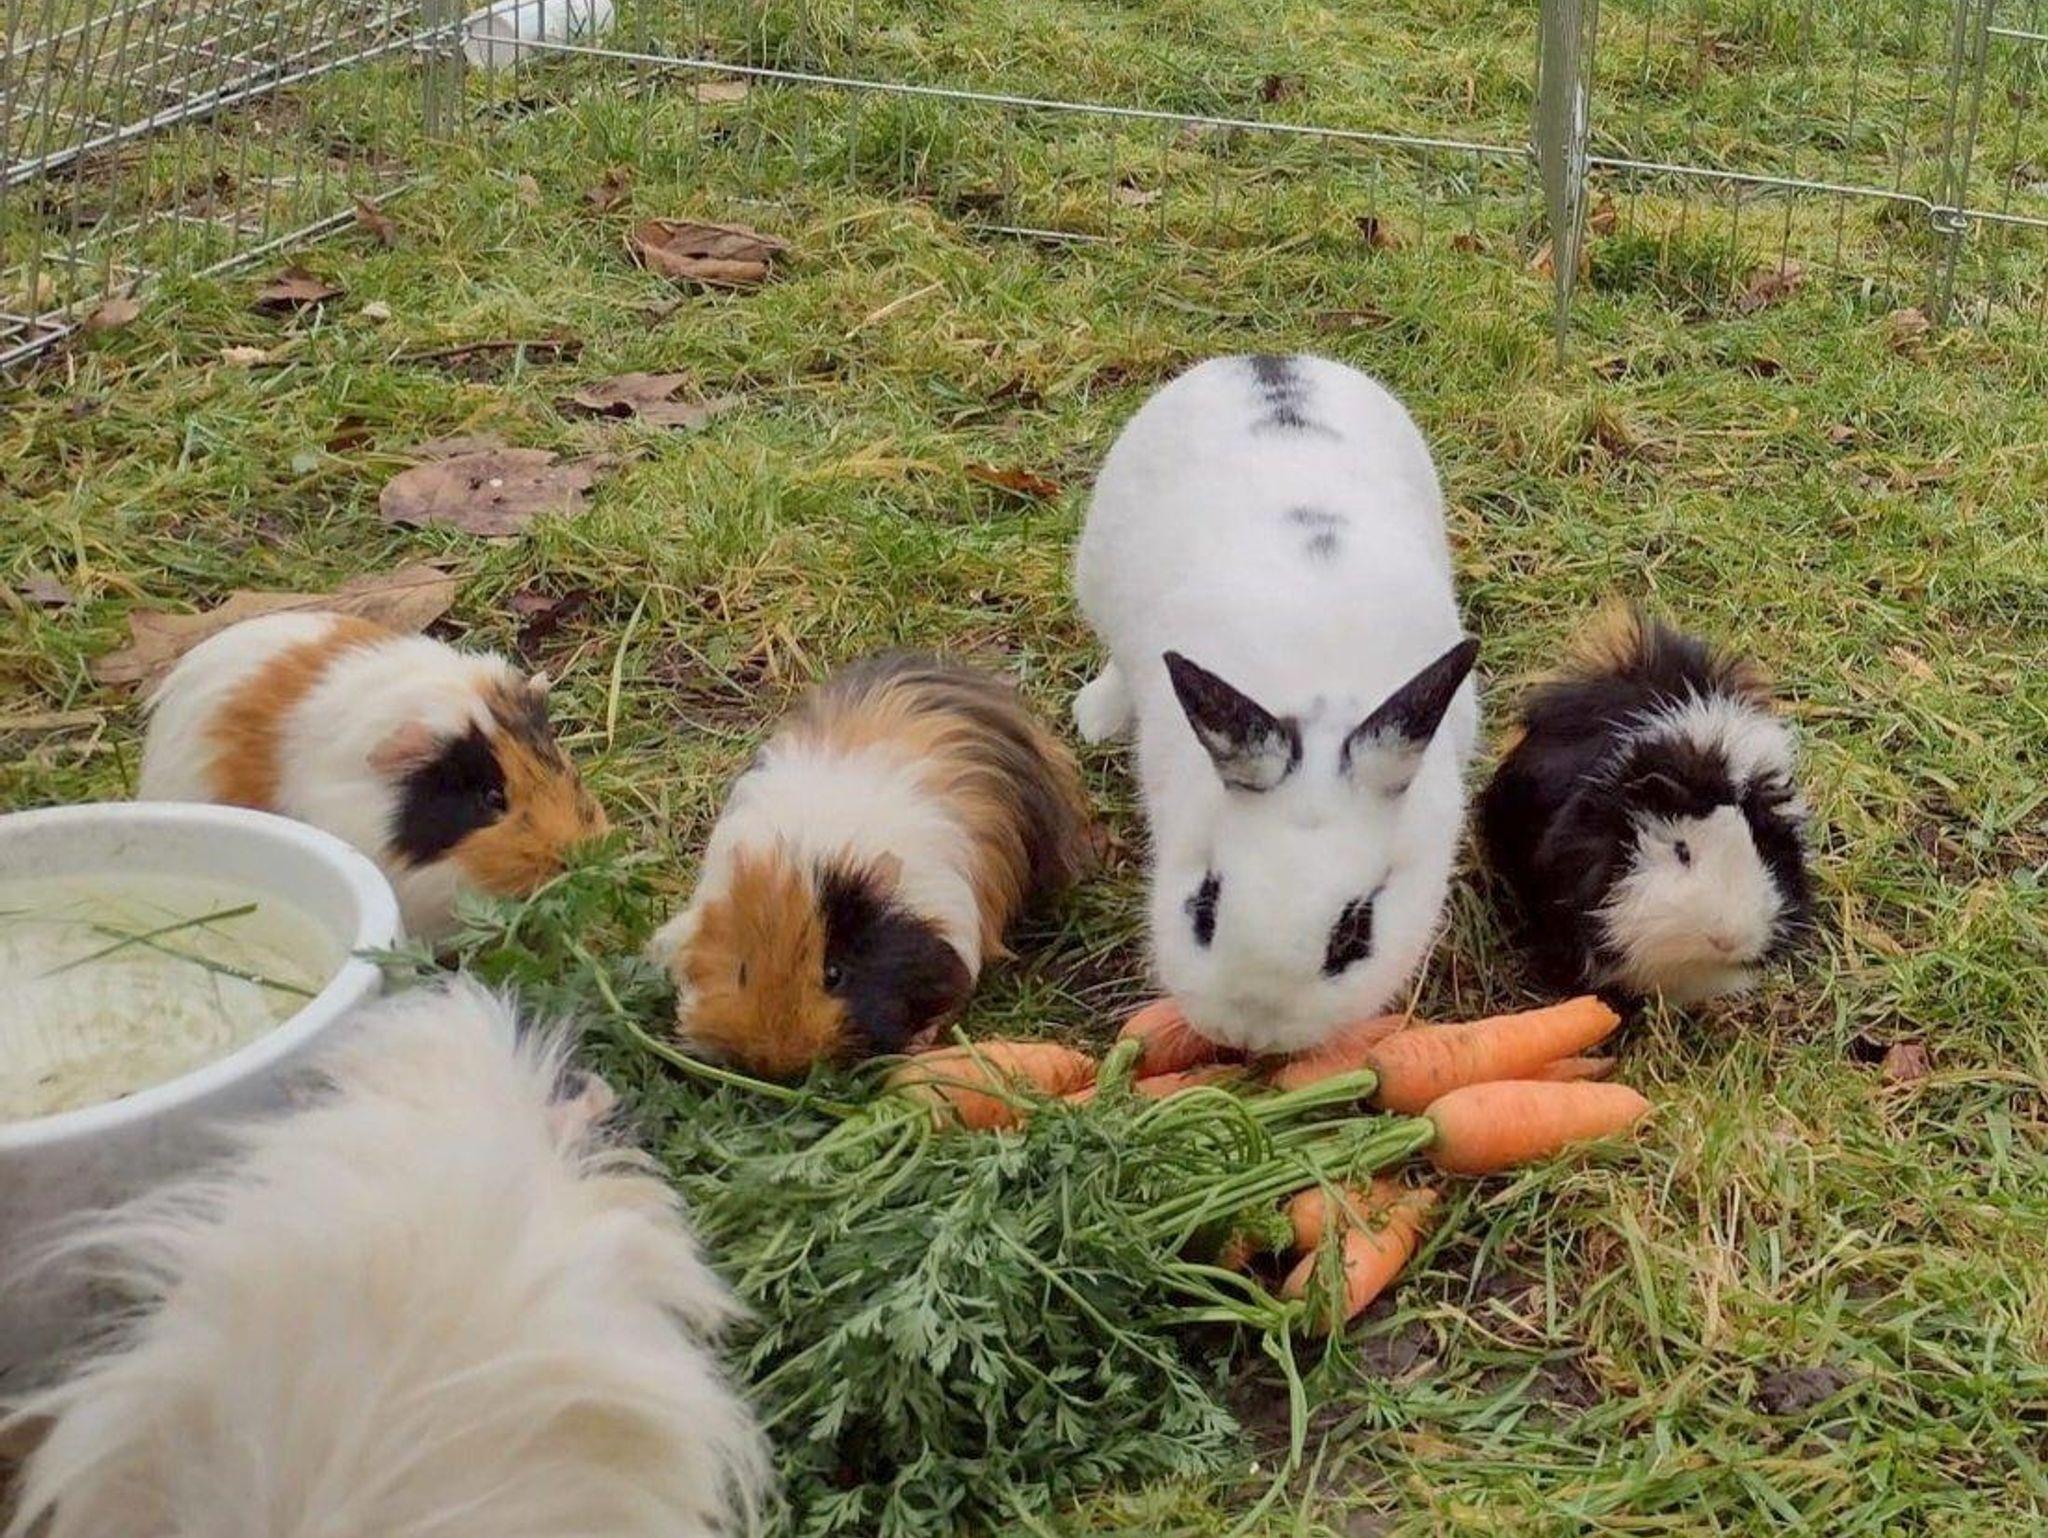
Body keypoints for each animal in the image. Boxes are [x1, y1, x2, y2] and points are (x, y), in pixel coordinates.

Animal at [1073, 354, 1479, 1056]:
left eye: (1354, 934)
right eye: (1206, 906)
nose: (1250, 1031)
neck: (1321, 695)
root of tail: (1265, 361)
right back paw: (1095, 718)